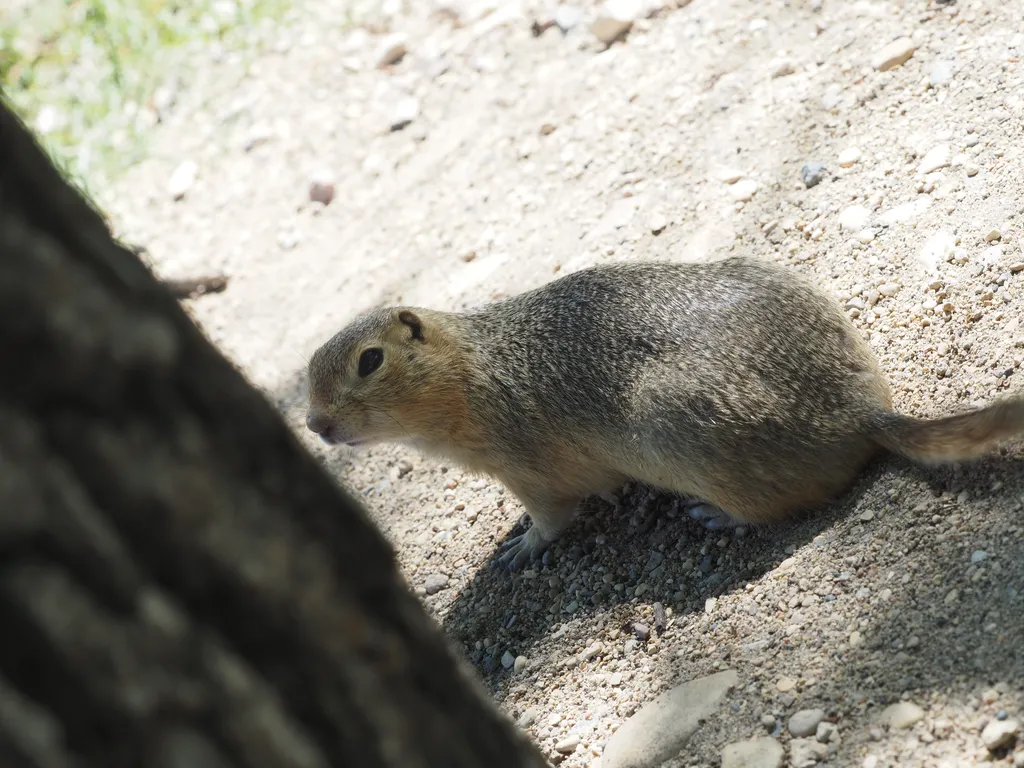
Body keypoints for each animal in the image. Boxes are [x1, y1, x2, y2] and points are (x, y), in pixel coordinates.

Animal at [303, 259, 1024, 573]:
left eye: (369, 361)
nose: (315, 425)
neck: (473, 371)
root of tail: (860, 412)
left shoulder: (527, 471)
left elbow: (552, 519)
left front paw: (520, 548)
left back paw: (719, 515)